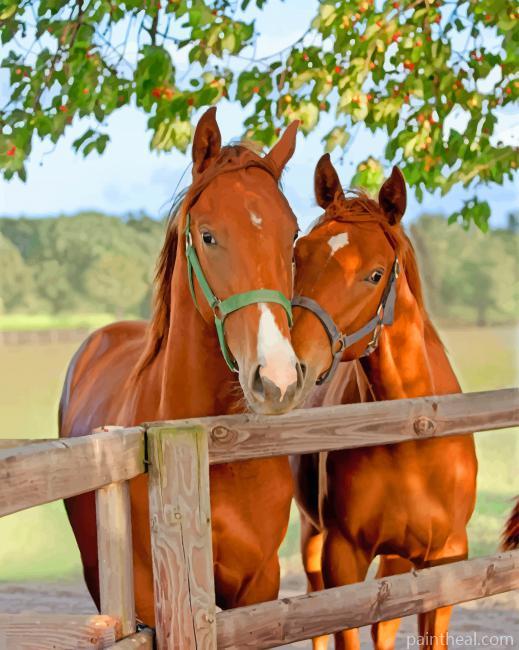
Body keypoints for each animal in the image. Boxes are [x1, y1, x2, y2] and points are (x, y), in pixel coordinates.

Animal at [290, 153, 479, 650]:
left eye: (374, 274)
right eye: (298, 255)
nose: (292, 364)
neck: (411, 433)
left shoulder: (446, 561)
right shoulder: (343, 557)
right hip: (312, 539)